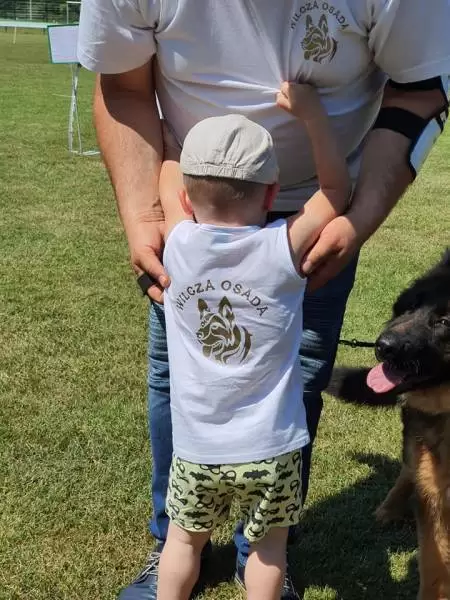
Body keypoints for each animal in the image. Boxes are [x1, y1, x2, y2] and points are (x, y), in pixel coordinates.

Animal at [327, 250, 450, 600]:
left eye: (444, 321)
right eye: (409, 308)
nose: (382, 346)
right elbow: (434, 570)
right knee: (411, 469)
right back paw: (390, 508)